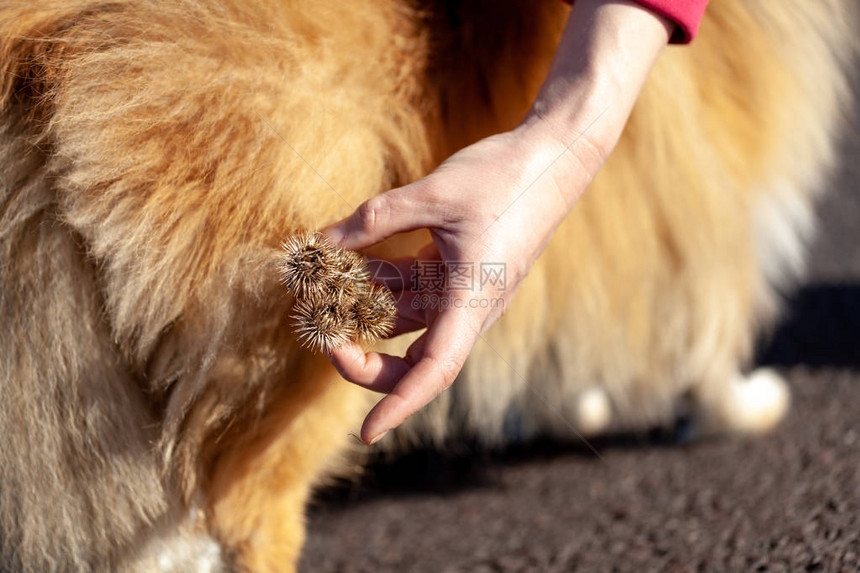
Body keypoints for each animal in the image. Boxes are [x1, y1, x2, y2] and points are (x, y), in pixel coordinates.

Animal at [0, 0, 852, 568]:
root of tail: (47, 40)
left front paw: (568, 404)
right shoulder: (714, 176)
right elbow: (714, 316)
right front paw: (740, 404)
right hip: (296, 398)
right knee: (238, 515)